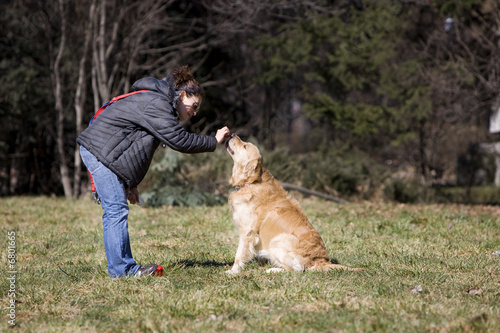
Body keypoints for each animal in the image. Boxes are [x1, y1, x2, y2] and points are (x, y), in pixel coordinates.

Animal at [225, 134, 362, 274]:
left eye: (245, 146)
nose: (232, 134)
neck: (251, 182)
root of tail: (321, 260)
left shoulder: (247, 231)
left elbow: (239, 254)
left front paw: (233, 272)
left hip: (278, 240)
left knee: (296, 270)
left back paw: (273, 270)